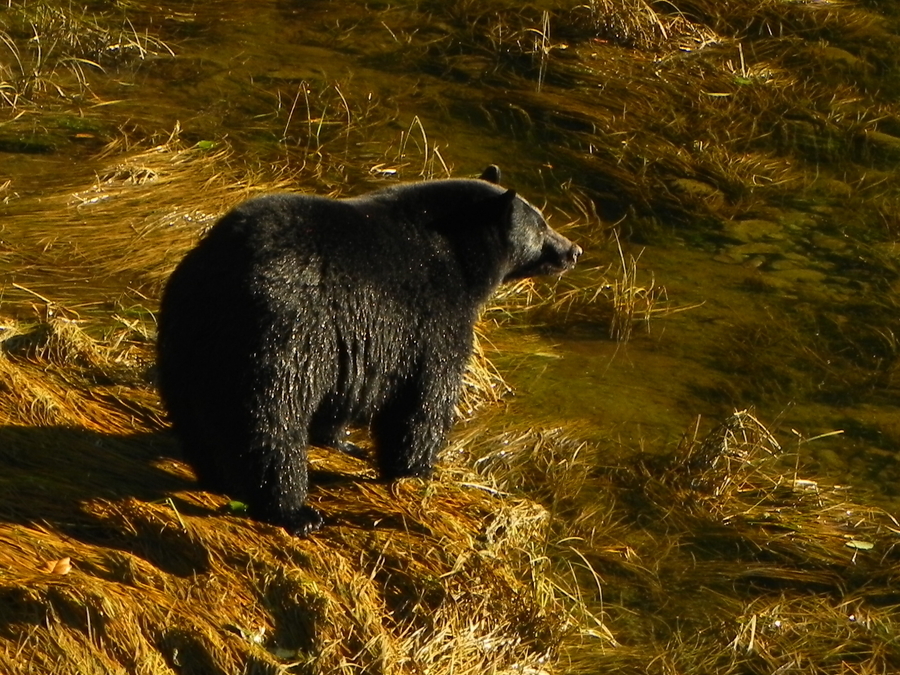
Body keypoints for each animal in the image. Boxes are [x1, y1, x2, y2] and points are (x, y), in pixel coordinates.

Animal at [157, 166, 584, 536]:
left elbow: (344, 392)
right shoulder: (430, 316)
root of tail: (221, 275)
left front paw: (341, 440)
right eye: (542, 224)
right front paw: (416, 469)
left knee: (196, 413)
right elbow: (425, 395)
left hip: (186, 335)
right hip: (281, 333)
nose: (574, 249)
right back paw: (294, 510)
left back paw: (215, 474)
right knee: (272, 421)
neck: (460, 253)